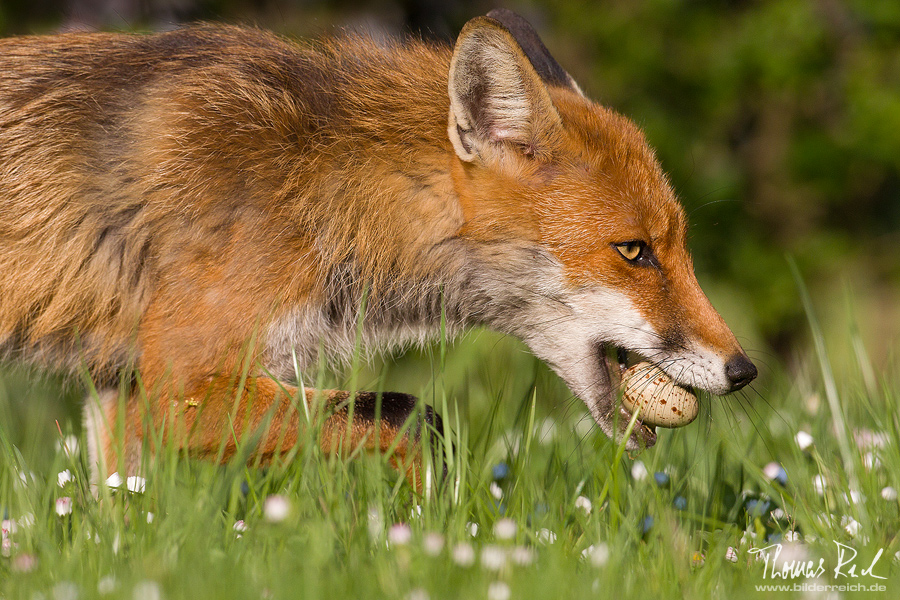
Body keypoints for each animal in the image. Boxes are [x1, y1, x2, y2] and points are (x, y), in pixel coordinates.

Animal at [0, 9, 752, 486]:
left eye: (677, 246)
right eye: (635, 252)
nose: (744, 371)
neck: (314, 194)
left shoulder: (121, 389)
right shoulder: (183, 391)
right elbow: (409, 419)